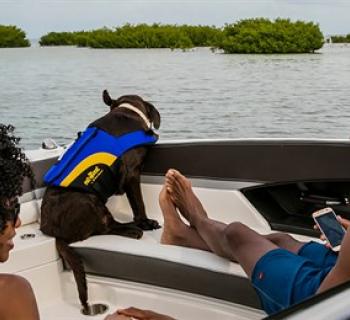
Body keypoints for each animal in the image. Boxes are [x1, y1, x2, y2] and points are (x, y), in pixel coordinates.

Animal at [40, 90, 161, 312]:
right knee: (104, 227)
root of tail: (54, 233)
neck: (127, 111)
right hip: (88, 200)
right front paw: (146, 223)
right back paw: (133, 230)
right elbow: (138, 203)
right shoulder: (132, 174)